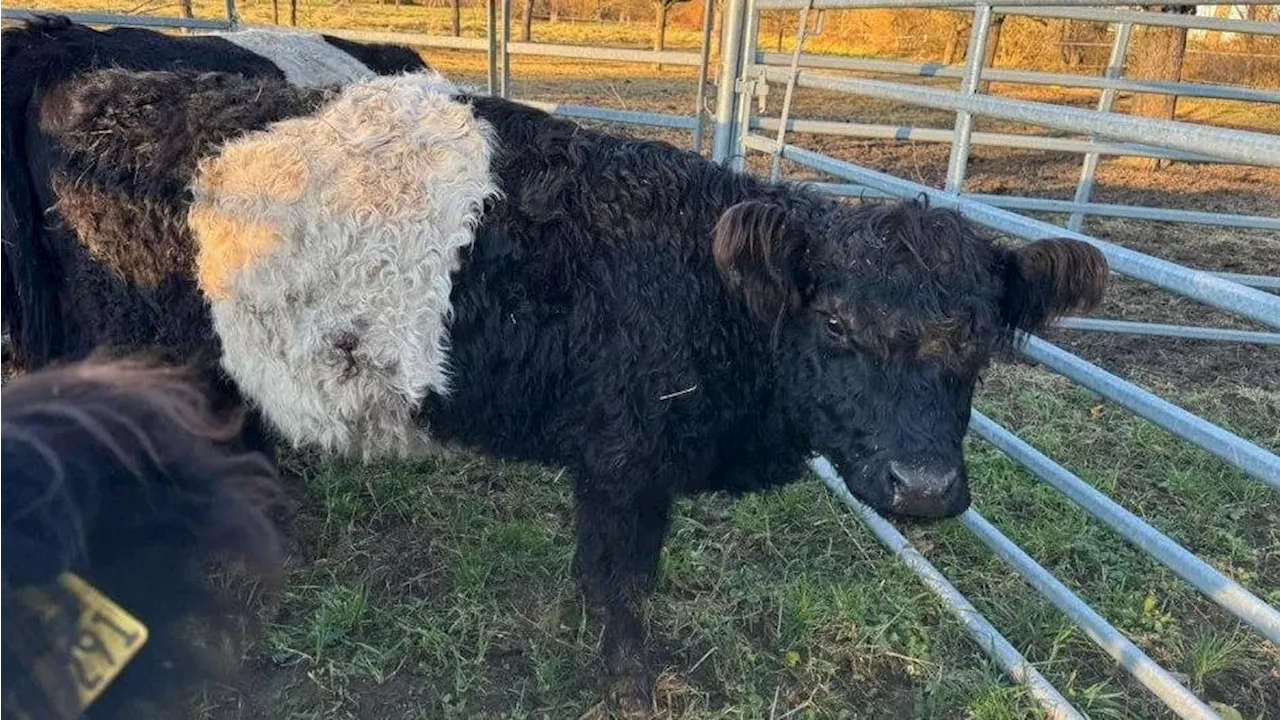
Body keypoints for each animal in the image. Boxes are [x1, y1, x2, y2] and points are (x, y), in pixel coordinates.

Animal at [7, 68, 1111, 712]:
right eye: (835, 323)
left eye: (978, 340)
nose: (923, 487)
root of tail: (103, 80)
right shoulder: (626, 463)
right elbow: (620, 581)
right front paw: (631, 680)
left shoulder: (623, 466)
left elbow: (611, 574)